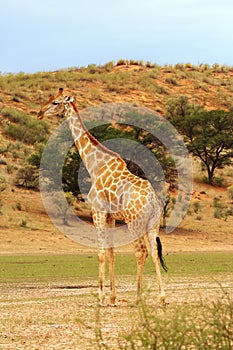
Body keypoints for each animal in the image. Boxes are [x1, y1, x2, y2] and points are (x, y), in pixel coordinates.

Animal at [37, 89, 167, 304]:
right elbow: (112, 252)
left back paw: (138, 298)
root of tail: (153, 201)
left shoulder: (97, 211)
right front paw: (113, 297)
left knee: (141, 251)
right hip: (153, 223)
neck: (94, 166)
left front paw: (101, 296)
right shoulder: (111, 216)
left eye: (55, 102)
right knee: (155, 252)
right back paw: (162, 297)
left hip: (134, 222)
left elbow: (100, 252)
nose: (39, 113)